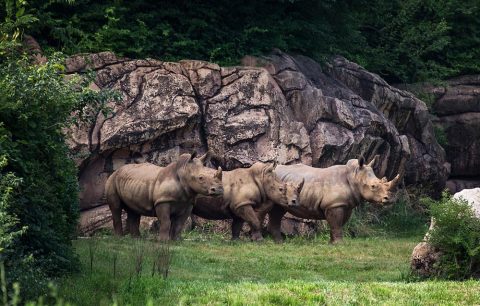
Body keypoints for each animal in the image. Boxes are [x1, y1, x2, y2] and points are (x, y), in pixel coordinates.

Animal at [268, 155, 400, 244]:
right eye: (373, 186)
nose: (389, 199)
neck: (354, 176)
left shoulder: (345, 205)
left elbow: (337, 224)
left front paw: (332, 243)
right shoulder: (335, 204)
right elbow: (336, 224)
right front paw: (339, 244)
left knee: (278, 211)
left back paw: (279, 242)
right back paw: (279, 242)